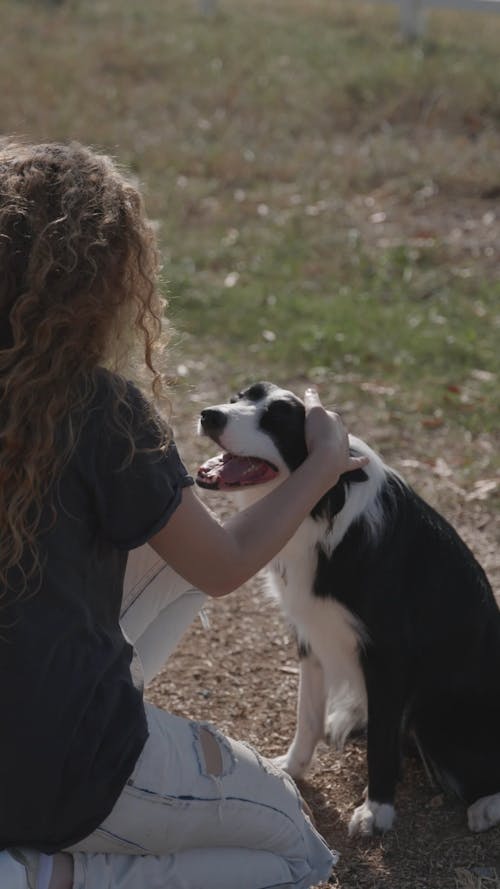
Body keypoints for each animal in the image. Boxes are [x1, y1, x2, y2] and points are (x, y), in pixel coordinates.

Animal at [196, 380, 500, 832]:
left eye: (276, 421)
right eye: (238, 398)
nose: (209, 415)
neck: (323, 505)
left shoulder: (388, 655)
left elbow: (380, 744)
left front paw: (377, 811)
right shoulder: (310, 633)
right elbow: (307, 714)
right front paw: (292, 768)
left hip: (435, 712)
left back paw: (485, 806)